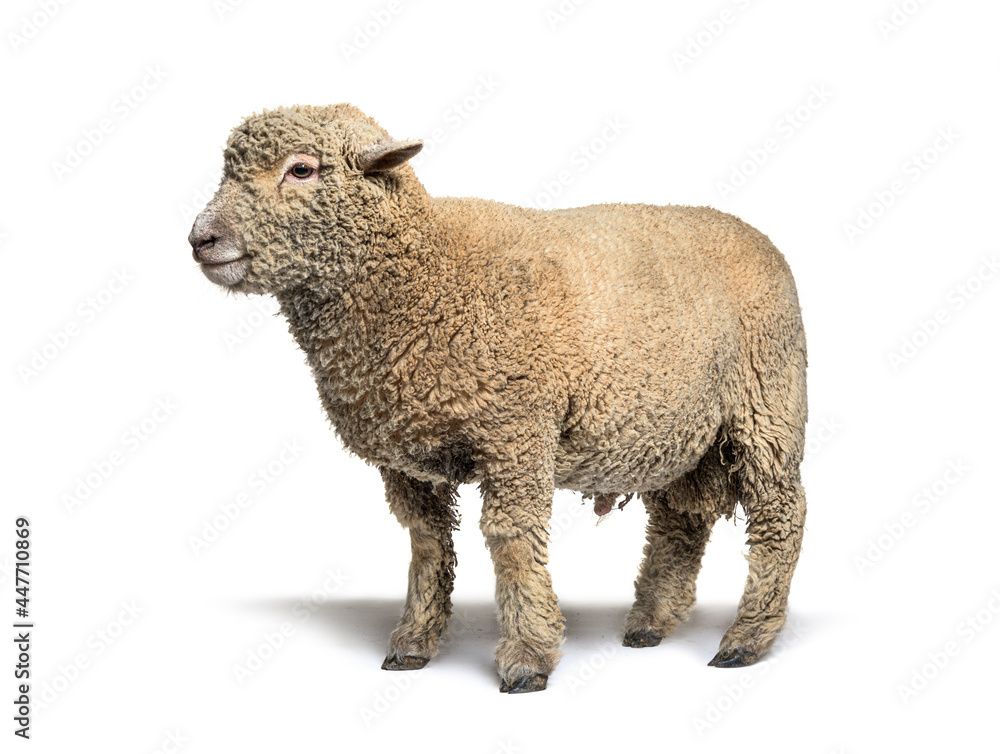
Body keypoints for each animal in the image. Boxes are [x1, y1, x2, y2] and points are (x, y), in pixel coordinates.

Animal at [189, 104, 808, 693]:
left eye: (301, 169)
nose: (200, 239)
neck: (424, 273)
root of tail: (754, 234)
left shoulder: (517, 432)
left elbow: (511, 539)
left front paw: (528, 657)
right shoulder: (407, 460)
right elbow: (426, 542)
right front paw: (412, 642)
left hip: (768, 403)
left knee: (780, 515)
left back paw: (746, 638)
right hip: (673, 432)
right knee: (680, 521)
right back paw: (650, 624)